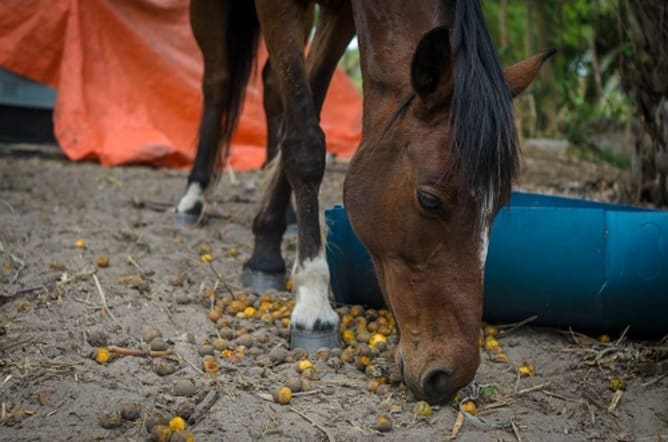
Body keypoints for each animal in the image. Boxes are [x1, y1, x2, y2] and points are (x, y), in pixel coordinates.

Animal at [176, 0, 552, 404]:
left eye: (498, 206)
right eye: (429, 200)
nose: (450, 375)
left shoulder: (339, 15)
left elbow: (310, 99)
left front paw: (267, 245)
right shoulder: (279, 7)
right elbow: (305, 142)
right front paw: (312, 302)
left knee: (271, 83)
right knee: (217, 82)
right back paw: (193, 197)